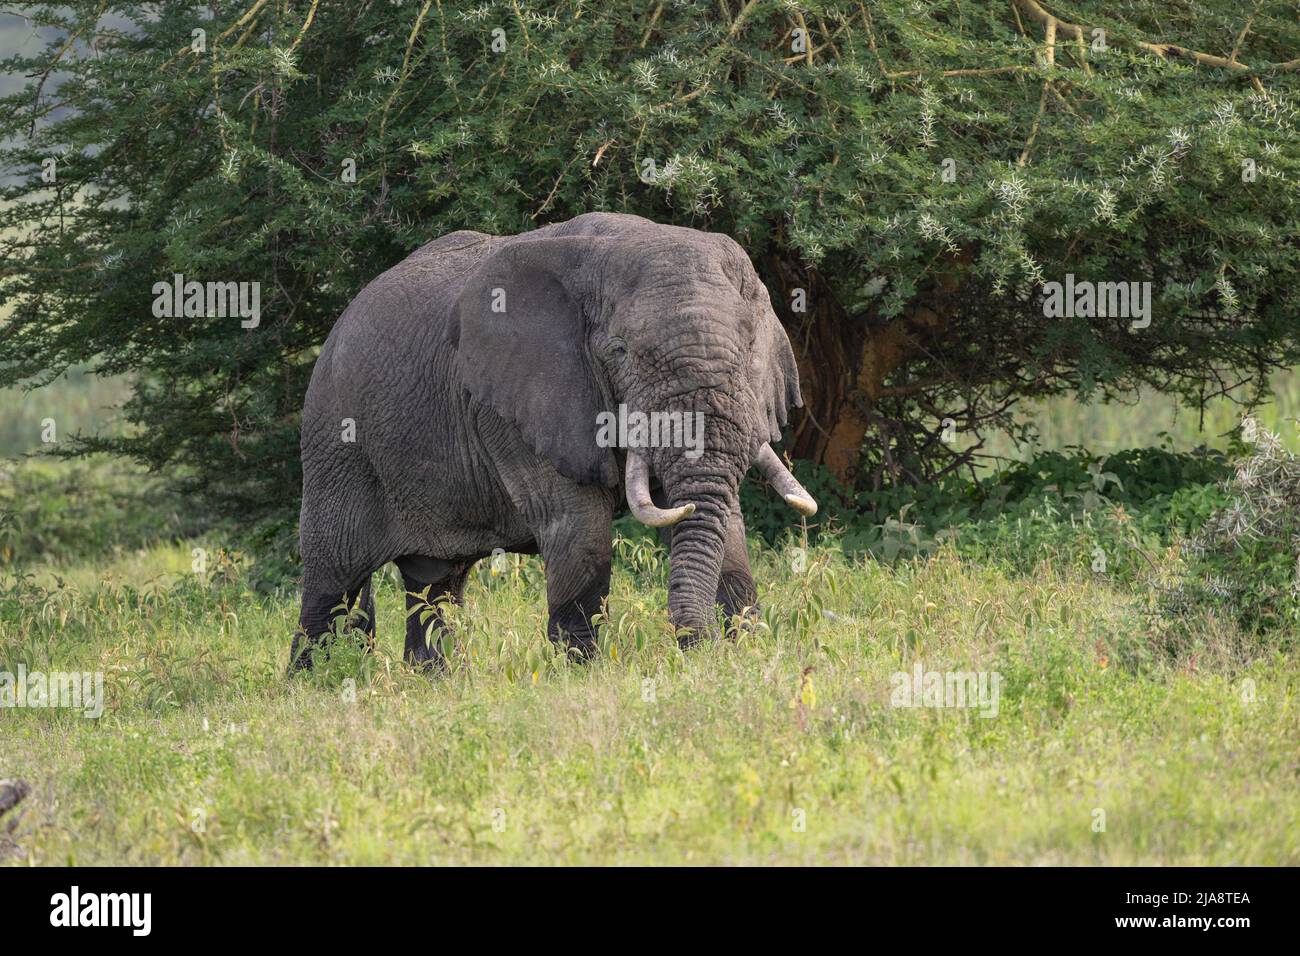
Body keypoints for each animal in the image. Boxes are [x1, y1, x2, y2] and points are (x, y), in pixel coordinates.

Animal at [291, 210, 816, 671]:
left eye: (748, 346)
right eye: (619, 351)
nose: (696, 647)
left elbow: (722, 521)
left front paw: (742, 655)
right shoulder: (512, 403)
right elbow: (578, 529)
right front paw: (584, 674)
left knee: (435, 586)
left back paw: (431, 682)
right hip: (335, 442)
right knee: (333, 583)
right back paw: (316, 683)